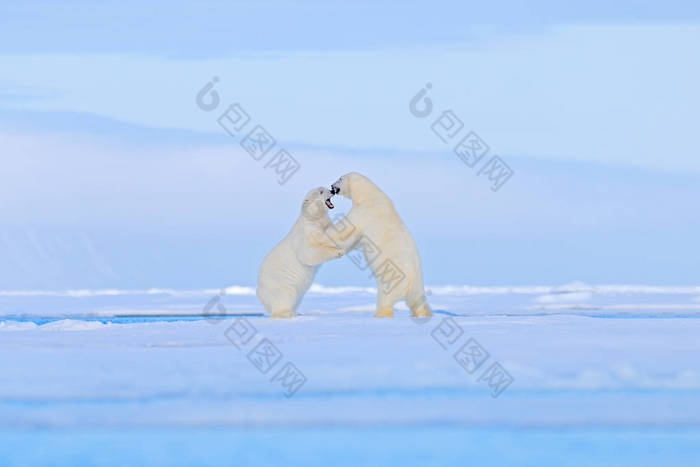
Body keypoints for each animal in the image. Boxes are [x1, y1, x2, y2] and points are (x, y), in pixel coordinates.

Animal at [258, 186, 344, 318]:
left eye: (326, 188)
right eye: (321, 191)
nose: (332, 190)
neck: (312, 218)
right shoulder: (305, 232)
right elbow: (308, 253)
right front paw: (339, 252)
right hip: (280, 283)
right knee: (285, 295)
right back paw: (287, 314)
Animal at [324, 174, 432, 320]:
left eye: (340, 178)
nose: (331, 185)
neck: (369, 195)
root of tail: (410, 283)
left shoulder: (364, 212)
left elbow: (346, 229)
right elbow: (355, 240)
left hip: (391, 282)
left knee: (385, 299)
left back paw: (379, 315)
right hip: (418, 286)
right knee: (418, 302)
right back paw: (423, 314)